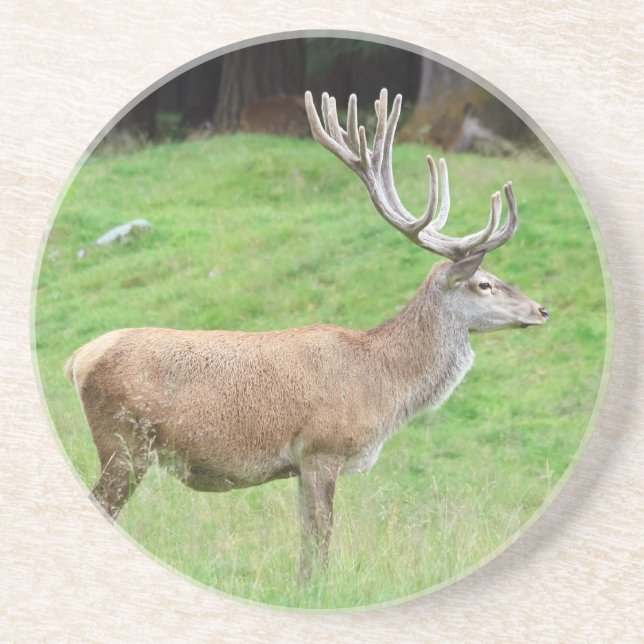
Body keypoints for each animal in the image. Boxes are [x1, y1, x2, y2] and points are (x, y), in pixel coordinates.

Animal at [64, 88, 548, 581]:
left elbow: (305, 547)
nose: (541, 310)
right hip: (123, 442)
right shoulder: (323, 448)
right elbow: (320, 542)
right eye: (484, 283)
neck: (384, 385)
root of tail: (76, 360)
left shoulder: (302, 463)